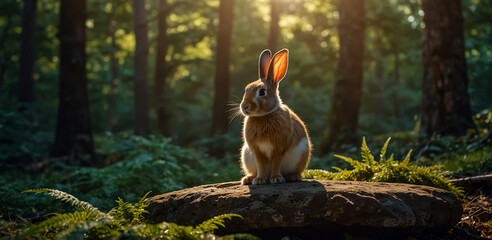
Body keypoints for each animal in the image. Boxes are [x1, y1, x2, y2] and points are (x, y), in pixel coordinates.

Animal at [238, 47, 312, 185]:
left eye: (262, 92)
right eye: (246, 89)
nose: (244, 107)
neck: (265, 115)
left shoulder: (279, 148)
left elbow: (276, 164)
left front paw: (276, 178)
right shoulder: (256, 150)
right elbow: (261, 165)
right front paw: (259, 180)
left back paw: (292, 176)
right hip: (246, 154)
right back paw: (249, 179)